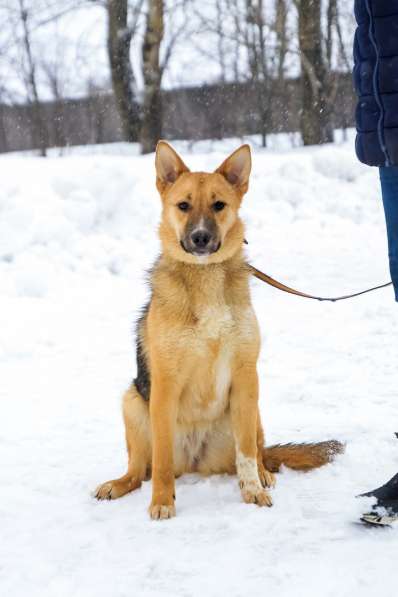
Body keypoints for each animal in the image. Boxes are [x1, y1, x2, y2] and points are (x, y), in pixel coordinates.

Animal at [95, 143, 344, 516]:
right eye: (183, 205)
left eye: (218, 205)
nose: (200, 237)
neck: (205, 276)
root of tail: (194, 464)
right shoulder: (164, 385)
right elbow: (162, 461)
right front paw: (162, 502)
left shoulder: (245, 375)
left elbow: (247, 453)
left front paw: (253, 491)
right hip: (133, 403)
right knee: (140, 471)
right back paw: (119, 483)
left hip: (252, 407)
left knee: (257, 452)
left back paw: (263, 474)